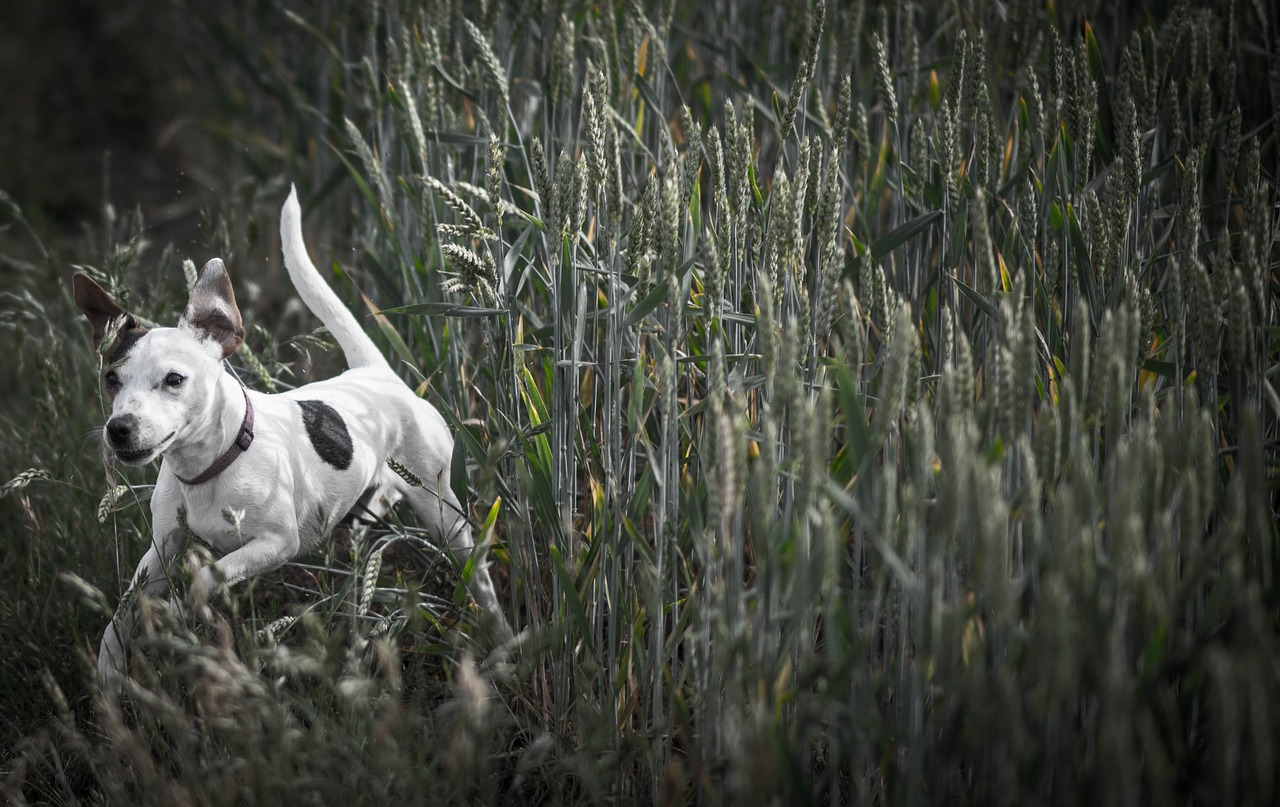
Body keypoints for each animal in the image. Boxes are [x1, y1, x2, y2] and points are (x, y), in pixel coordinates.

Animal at [74, 187, 509, 691]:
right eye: (111, 379)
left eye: (174, 380)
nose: (118, 429)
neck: (213, 465)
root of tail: (376, 375)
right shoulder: (161, 550)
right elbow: (124, 612)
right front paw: (110, 672)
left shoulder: (276, 544)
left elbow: (206, 580)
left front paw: (179, 615)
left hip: (445, 514)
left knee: (478, 574)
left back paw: (502, 638)